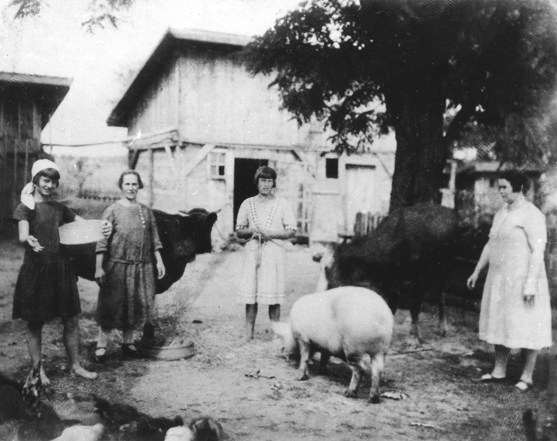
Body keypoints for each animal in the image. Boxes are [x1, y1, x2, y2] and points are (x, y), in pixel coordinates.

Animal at [314, 201, 458, 342]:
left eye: (327, 270)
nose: (319, 297)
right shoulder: (388, 283)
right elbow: (389, 307)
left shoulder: (418, 281)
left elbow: (415, 307)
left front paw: (415, 336)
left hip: (444, 269)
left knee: (441, 296)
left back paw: (443, 327)